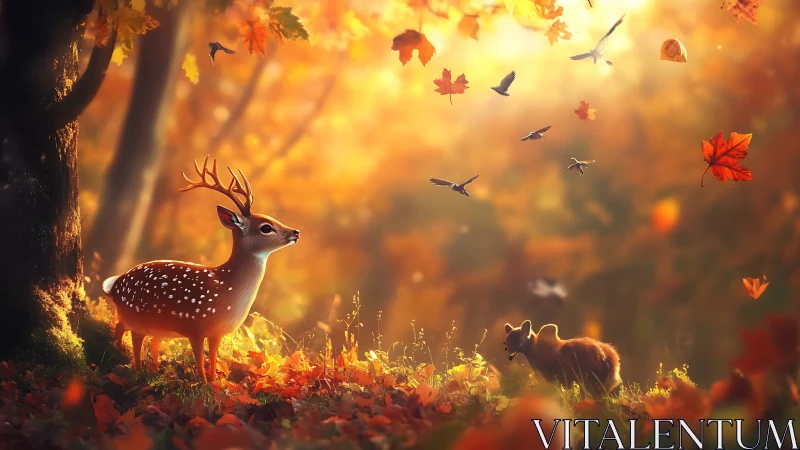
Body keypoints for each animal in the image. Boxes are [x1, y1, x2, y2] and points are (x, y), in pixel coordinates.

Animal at [102, 157, 300, 383]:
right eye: (266, 227)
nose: (296, 232)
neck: (228, 288)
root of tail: (114, 285)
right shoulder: (195, 325)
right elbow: (199, 360)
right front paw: (203, 383)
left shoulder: (217, 332)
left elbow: (212, 359)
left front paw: (215, 384)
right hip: (135, 314)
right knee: (130, 334)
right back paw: (129, 365)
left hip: (155, 325)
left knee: (145, 339)